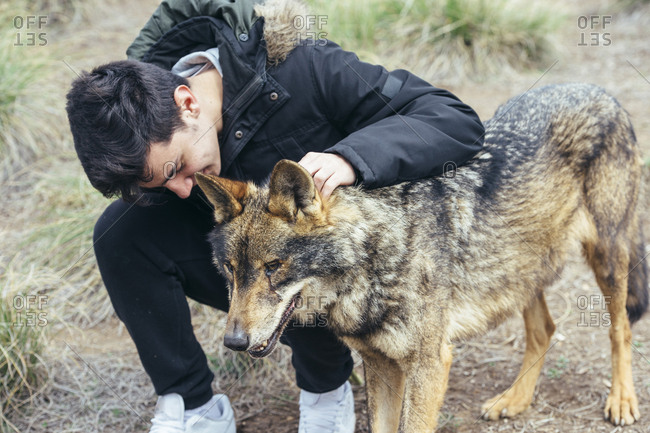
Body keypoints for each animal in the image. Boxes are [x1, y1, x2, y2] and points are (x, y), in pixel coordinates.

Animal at [195, 83, 648, 432]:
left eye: (273, 268)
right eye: (231, 270)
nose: (233, 342)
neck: (377, 255)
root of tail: (599, 91)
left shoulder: (429, 365)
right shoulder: (380, 364)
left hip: (607, 258)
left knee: (621, 329)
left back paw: (622, 401)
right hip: (520, 273)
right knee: (545, 330)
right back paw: (514, 400)